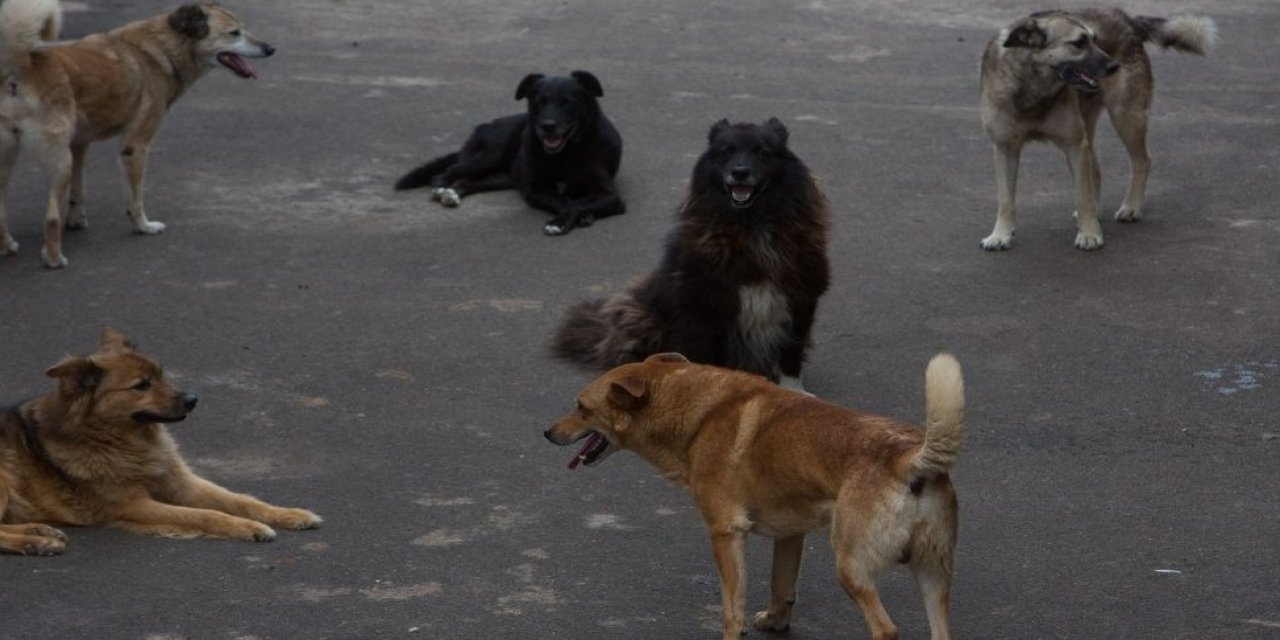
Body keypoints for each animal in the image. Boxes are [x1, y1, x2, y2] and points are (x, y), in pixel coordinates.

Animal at [0, 0, 275, 267]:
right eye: (234, 33)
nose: (271, 49)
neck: (160, 50)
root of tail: (20, 66)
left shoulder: (79, 144)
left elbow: (79, 189)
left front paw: (77, 220)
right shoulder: (136, 145)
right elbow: (136, 197)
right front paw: (143, 226)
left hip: (14, 159)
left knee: (2, 210)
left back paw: (6, 246)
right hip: (58, 162)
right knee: (50, 218)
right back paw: (54, 259)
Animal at [0, 327, 320, 552]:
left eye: (161, 374)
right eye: (141, 385)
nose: (193, 400)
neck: (121, 442)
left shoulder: (180, 482)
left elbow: (240, 500)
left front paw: (289, 514)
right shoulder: (133, 505)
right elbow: (203, 514)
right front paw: (249, 527)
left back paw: (39, 531)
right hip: (4, 479)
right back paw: (37, 542)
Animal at [394, 70, 624, 235]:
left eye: (568, 101)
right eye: (539, 100)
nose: (547, 126)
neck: (566, 153)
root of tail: (487, 124)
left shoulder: (610, 195)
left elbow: (576, 203)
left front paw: (576, 216)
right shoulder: (535, 189)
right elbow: (564, 202)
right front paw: (561, 221)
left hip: (503, 177)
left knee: (466, 181)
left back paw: (452, 193)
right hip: (490, 158)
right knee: (447, 173)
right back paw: (441, 188)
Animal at [545, 353, 962, 640]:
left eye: (581, 407)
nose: (547, 433)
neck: (700, 412)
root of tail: (908, 458)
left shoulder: (725, 533)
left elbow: (732, 607)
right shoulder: (790, 535)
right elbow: (781, 585)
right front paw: (776, 622)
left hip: (852, 568)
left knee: (885, 629)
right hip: (932, 574)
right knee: (941, 632)